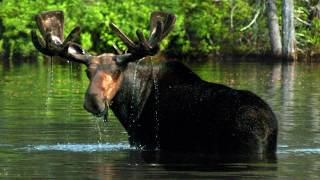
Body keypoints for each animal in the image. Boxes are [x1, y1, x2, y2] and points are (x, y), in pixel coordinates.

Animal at [31, 11, 278, 158]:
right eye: (87, 71)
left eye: (117, 71)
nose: (93, 101)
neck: (131, 107)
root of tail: (269, 126)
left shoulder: (147, 142)